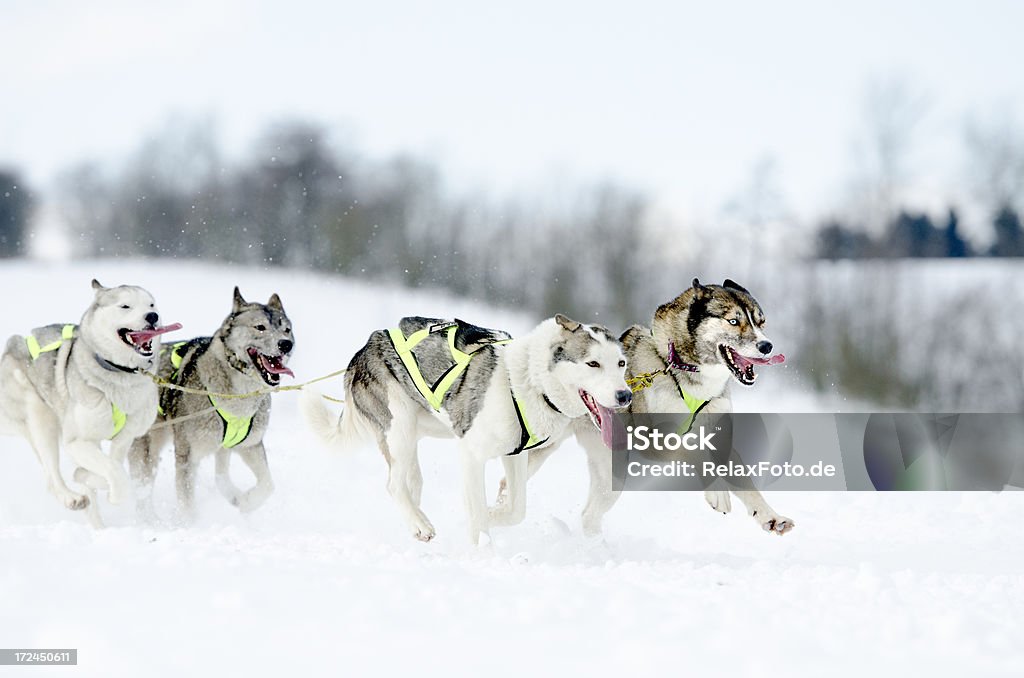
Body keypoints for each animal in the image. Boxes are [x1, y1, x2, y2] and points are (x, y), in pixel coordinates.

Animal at [0, 278, 180, 522]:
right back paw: (71, 498)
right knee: (51, 478)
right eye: (125, 306)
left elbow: (110, 466)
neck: (120, 372)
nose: (152, 316)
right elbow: (114, 470)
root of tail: (10, 347)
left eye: (151, 305)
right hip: (40, 417)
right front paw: (113, 492)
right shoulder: (77, 441)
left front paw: (87, 476)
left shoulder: (124, 438)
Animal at [130, 288, 294, 520]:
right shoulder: (188, 454)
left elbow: (268, 485)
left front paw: (246, 502)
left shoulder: (250, 445)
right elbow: (187, 504)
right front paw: (189, 524)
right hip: (147, 450)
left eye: (286, 330)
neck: (240, 393)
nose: (286, 344)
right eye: (260, 327)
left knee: (221, 475)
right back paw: (149, 520)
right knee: (141, 489)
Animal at [303, 315, 626, 544]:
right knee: (393, 485)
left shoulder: (515, 455)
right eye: (593, 363)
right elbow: (480, 515)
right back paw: (420, 525)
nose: (625, 395)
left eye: (621, 363)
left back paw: (415, 520)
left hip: (419, 433)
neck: (527, 383)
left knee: (410, 484)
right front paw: (483, 550)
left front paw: (492, 516)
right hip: (400, 428)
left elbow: (515, 509)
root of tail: (366, 347)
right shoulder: (472, 454)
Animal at [520, 278, 790, 540]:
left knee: (589, 515)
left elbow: (742, 479)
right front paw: (717, 493)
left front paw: (771, 517)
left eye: (761, 322)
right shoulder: (656, 442)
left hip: (611, 473)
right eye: (734, 321)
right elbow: (696, 454)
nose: (767, 346)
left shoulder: (717, 436)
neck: (678, 366)